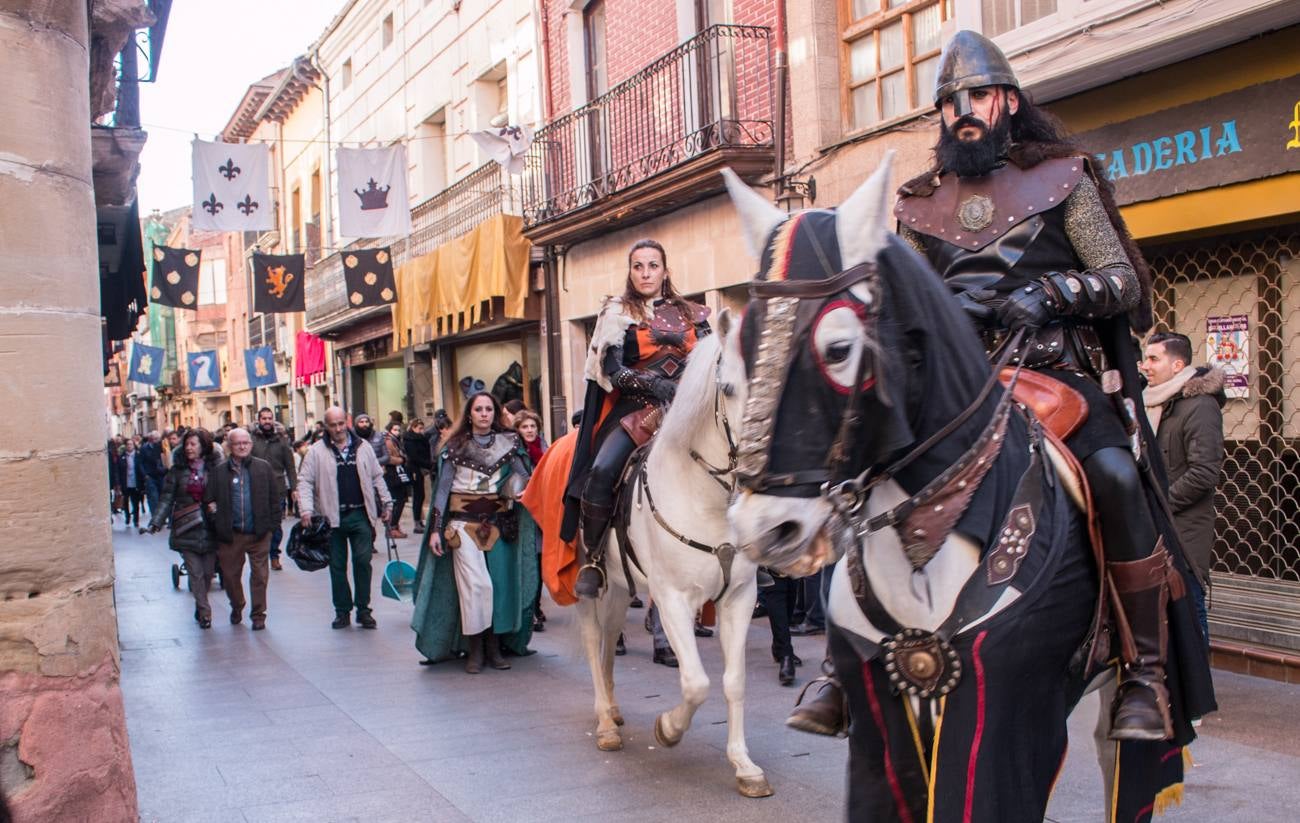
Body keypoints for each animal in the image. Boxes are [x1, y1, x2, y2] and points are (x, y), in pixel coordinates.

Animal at [574, 314, 774, 795]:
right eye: (728, 388)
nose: (757, 465)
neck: (707, 497)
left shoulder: (739, 598)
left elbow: (734, 682)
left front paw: (744, 765)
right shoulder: (672, 600)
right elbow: (696, 682)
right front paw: (668, 729)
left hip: (621, 584)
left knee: (609, 640)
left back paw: (614, 711)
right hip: (591, 580)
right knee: (592, 640)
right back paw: (605, 724)